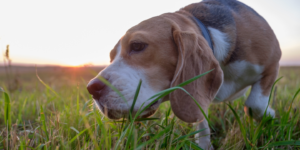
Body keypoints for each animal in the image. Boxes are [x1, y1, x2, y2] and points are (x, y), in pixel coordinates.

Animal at [86, 0, 282, 148]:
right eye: (111, 57)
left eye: (137, 45)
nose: (92, 88)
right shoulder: (198, 100)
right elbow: (201, 121)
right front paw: (204, 145)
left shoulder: (272, 63)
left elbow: (254, 104)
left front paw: (270, 116)